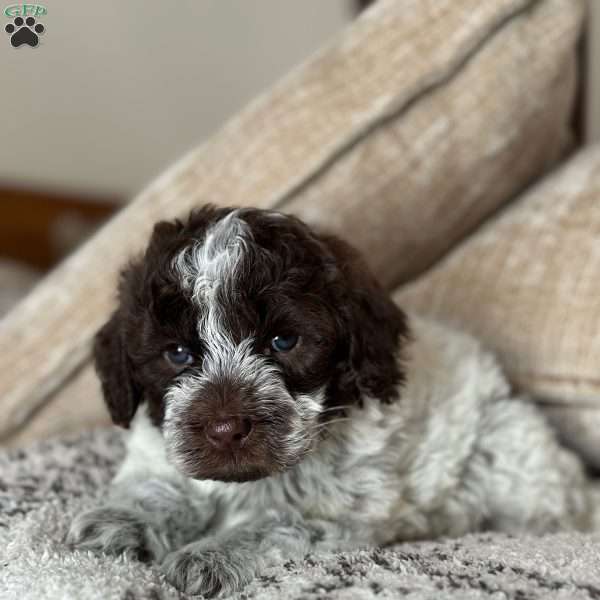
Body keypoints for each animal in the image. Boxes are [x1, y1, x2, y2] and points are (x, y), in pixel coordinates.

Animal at [67, 205, 596, 596]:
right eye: (177, 354)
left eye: (284, 341)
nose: (225, 429)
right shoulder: (159, 454)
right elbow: (159, 489)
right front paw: (121, 521)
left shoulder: (342, 513)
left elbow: (275, 522)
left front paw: (210, 555)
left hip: (508, 455)